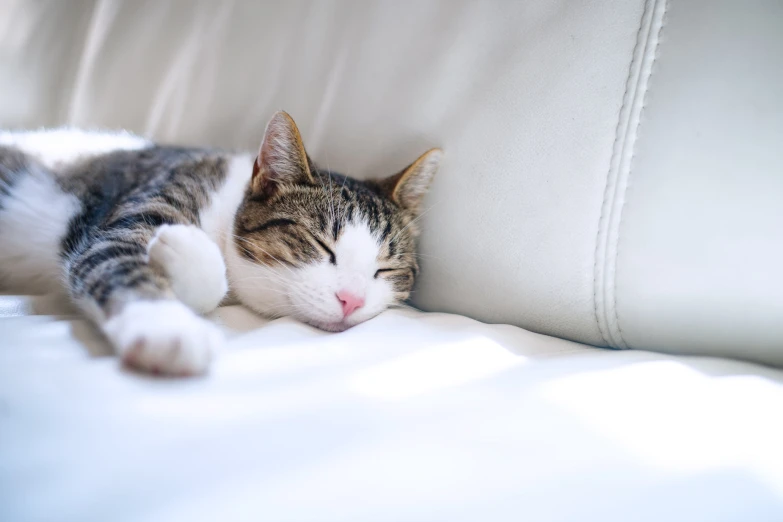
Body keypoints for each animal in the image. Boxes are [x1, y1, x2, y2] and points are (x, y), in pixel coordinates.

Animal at [0, 111, 440, 374]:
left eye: (386, 269)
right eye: (320, 245)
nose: (352, 300)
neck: (223, 211)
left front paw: (181, 251)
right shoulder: (120, 226)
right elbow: (118, 261)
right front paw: (167, 327)